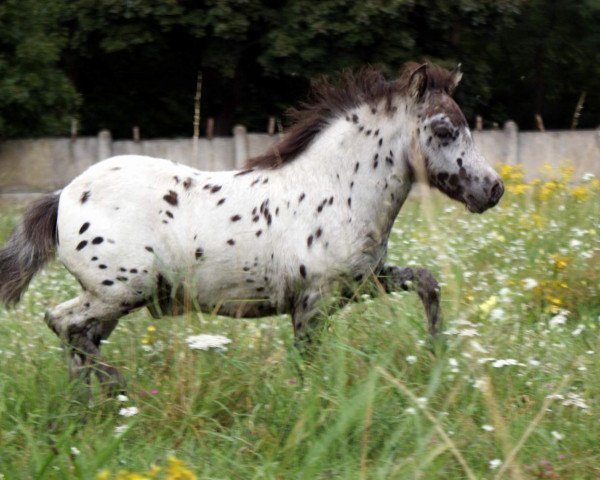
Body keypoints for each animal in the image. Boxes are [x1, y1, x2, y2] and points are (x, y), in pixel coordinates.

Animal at [0, 62, 504, 392]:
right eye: (443, 130)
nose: (493, 189)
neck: (334, 187)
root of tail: (63, 196)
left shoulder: (362, 282)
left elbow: (427, 282)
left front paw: (438, 352)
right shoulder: (313, 302)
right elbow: (306, 364)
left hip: (113, 302)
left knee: (78, 336)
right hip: (119, 292)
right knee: (63, 323)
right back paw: (113, 389)